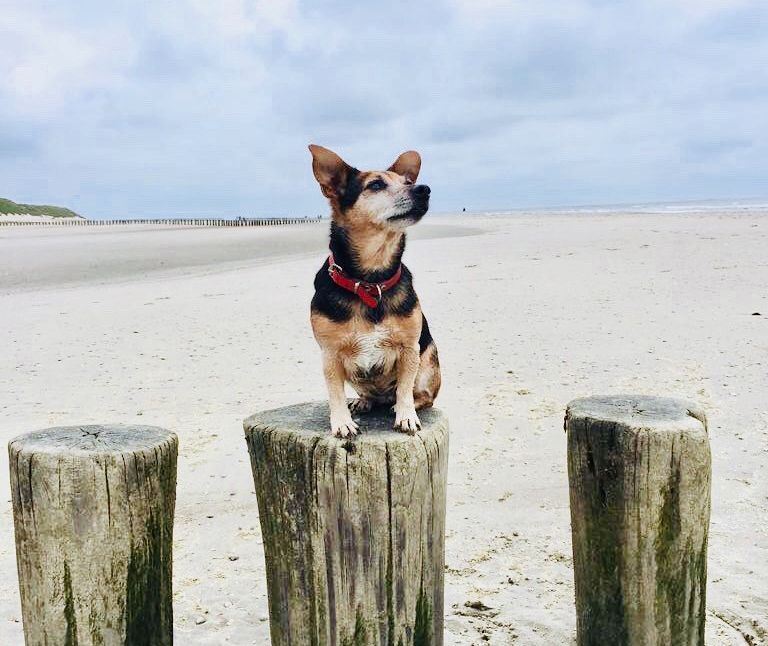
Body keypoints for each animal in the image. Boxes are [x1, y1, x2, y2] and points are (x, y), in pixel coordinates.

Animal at [304, 146, 438, 440]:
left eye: (407, 181)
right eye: (375, 185)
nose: (424, 189)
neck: (371, 280)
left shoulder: (410, 349)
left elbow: (405, 388)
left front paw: (406, 415)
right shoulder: (330, 354)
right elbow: (335, 393)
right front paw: (341, 422)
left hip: (429, 360)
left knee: (421, 395)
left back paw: (398, 405)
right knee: (368, 395)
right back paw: (363, 402)